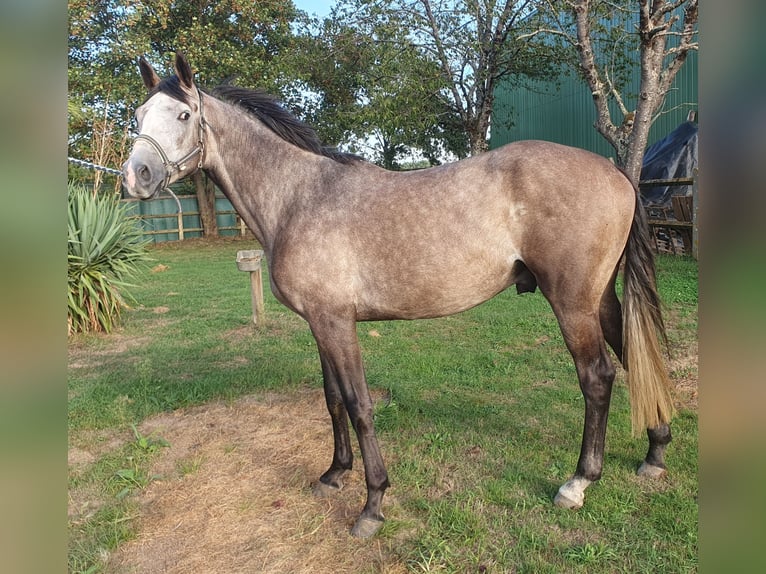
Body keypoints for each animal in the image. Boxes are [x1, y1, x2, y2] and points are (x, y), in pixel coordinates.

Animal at [123, 53, 675, 538]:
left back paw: (578, 482)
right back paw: (655, 452)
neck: (299, 197)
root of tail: (615, 171)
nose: (136, 176)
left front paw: (372, 506)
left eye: (184, 114)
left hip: (572, 303)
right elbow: (332, 401)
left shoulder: (335, 323)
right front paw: (334, 474)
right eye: (137, 116)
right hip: (600, 299)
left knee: (597, 377)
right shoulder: (320, 323)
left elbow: (359, 405)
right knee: (633, 358)